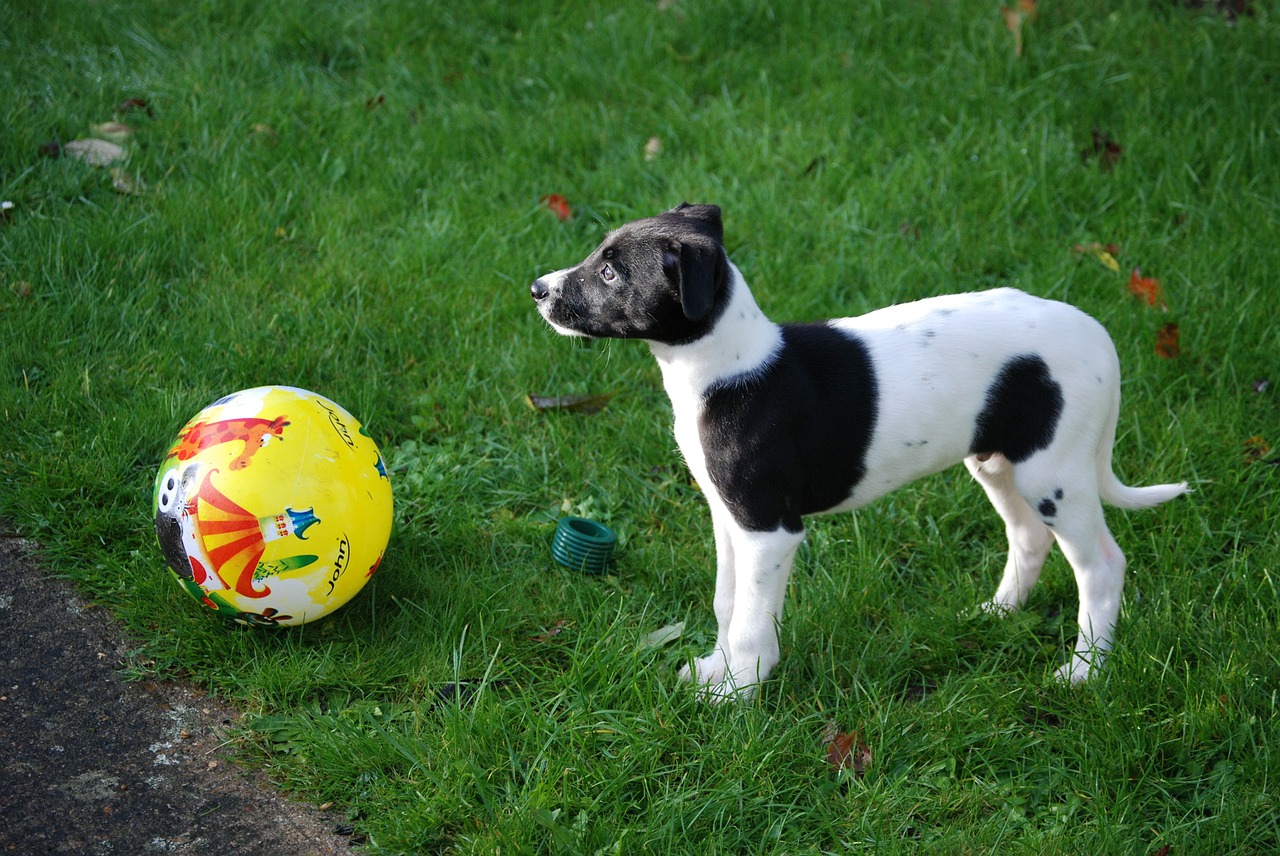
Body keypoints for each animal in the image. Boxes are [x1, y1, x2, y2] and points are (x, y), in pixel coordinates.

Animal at [529, 203, 1187, 696]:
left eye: (612, 273)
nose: (537, 289)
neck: (727, 368)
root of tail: (1100, 337)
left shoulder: (769, 527)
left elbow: (750, 620)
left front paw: (738, 693)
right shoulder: (727, 516)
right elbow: (727, 602)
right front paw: (715, 671)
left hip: (1055, 475)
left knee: (1101, 567)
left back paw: (1084, 672)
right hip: (998, 463)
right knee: (1027, 538)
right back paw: (997, 615)